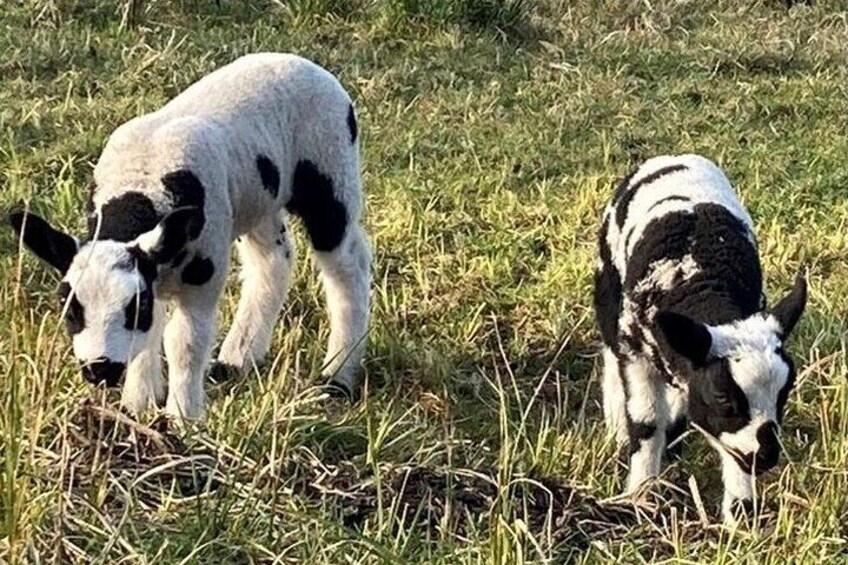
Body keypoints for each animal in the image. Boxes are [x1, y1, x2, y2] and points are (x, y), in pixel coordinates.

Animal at [7, 54, 372, 418]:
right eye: (68, 307)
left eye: (134, 307)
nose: (100, 370)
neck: (140, 186)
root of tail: (304, 63)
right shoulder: (152, 269)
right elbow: (148, 338)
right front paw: (136, 407)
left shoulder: (203, 272)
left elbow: (183, 343)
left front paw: (180, 417)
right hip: (254, 198)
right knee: (271, 261)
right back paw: (237, 359)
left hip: (330, 173)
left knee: (348, 267)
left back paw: (337, 375)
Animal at [592, 153, 804, 520]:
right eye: (723, 397)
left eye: (786, 391)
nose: (766, 457)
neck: (700, 278)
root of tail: (674, 157)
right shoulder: (635, 354)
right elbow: (646, 422)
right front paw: (640, 496)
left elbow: (731, 450)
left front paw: (741, 515)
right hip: (607, 287)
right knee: (610, 355)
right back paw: (617, 427)